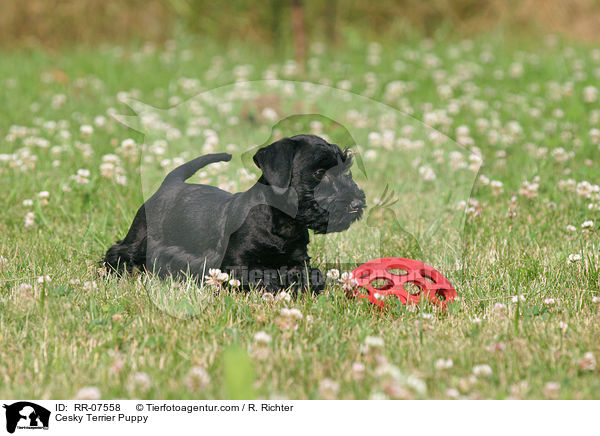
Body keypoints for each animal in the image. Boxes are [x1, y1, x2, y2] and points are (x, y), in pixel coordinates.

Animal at [103, 133, 366, 292]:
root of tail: (171, 182)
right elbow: (262, 276)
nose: (357, 203)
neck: (281, 223)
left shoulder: (298, 261)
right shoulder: (236, 264)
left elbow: (309, 275)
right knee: (120, 252)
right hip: (141, 237)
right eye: (319, 172)